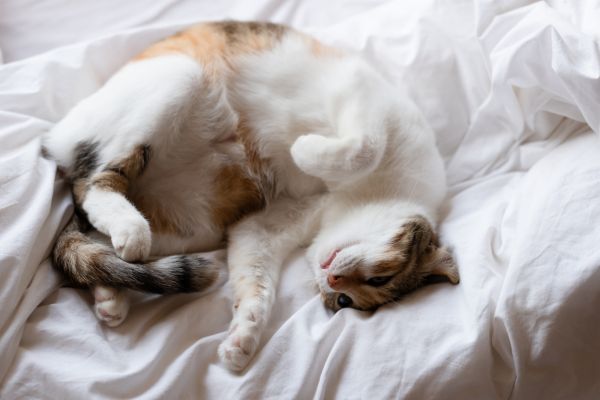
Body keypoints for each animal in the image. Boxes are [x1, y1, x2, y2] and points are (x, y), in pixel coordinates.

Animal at [42, 21, 460, 372]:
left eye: (346, 303)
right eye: (379, 278)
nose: (334, 281)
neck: (348, 201)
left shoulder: (261, 227)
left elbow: (257, 286)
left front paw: (244, 338)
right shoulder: (365, 101)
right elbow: (364, 149)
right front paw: (305, 150)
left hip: (198, 224)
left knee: (92, 239)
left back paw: (109, 294)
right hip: (181, 79)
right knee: (91, 184)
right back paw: (127, 229)